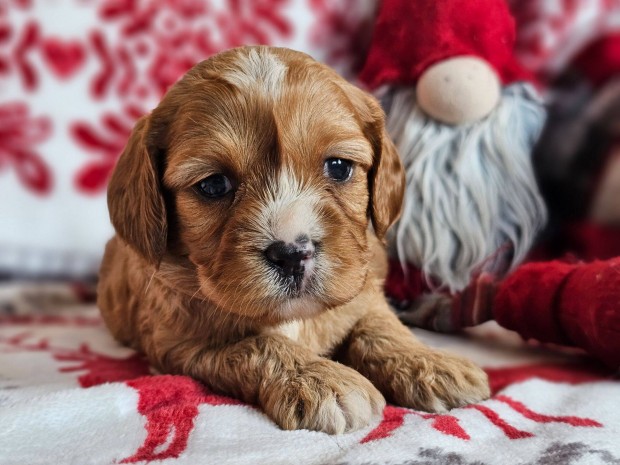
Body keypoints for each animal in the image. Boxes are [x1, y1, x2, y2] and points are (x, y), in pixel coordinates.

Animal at [98, 45, 490, 434]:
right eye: (213, 185)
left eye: (338, 167)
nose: (292, 254)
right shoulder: (179, 341)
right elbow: (258, 344)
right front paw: (321, 380)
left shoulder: (364, 292)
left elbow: (380, 325)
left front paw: (427, 363)